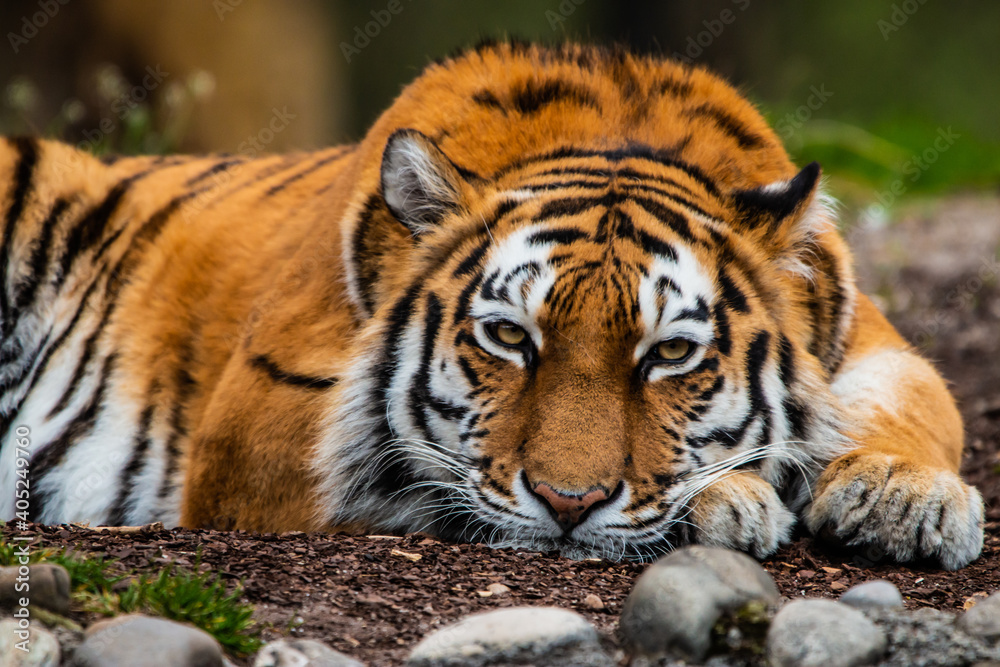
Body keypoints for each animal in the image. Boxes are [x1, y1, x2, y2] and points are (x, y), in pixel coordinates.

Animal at [0, 41, 984, 569]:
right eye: (510, 338)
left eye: (669, 353)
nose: (568, 503)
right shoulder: (265, 409)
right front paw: (731, 498)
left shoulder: (872, 335)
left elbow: (917, 400)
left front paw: (905, 498)